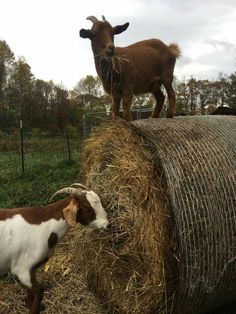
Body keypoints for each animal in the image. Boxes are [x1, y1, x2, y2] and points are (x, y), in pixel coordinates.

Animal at [0, 183, 108, 314]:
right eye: (87, 208)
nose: (107, 224)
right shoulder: (22, 269)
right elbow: (39, 291)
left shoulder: (31, 269)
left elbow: (30, 291)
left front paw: (28, 304)